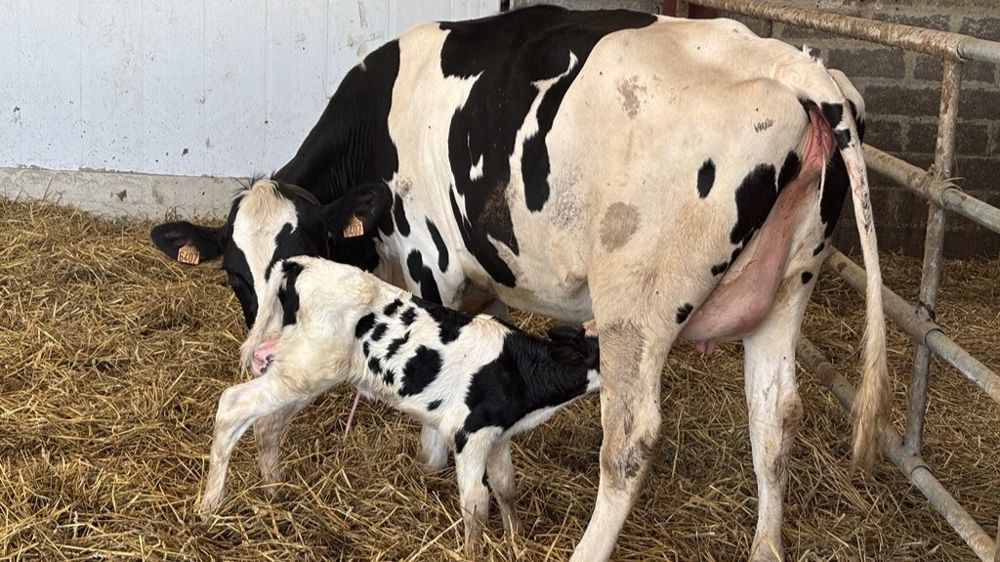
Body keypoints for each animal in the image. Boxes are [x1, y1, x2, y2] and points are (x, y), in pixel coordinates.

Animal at [197, 255, 601, 554]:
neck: (517, 368)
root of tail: (301, 263)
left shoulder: (498, 435)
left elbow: (505, 487)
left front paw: (515, 540)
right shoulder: (469, 435)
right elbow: (476, 502)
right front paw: (474, 550)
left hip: (299, 372)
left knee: (267, 425)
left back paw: (275, 493)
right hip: (303, 370)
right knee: (232, 405)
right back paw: (210, 505)